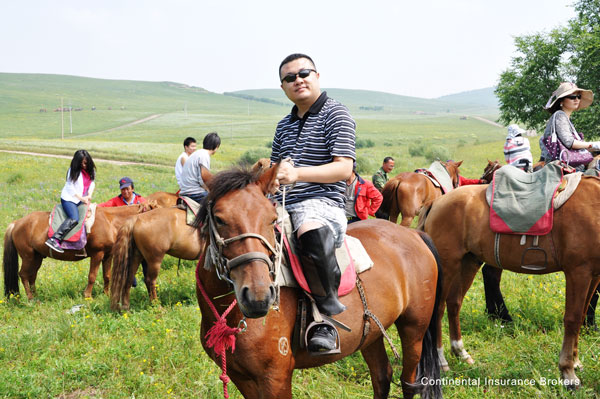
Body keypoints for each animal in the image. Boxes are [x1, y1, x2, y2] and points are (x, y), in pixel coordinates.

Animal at [2, 203, 157, 300]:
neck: (110, 221)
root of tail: (16, 223)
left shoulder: (108, 255)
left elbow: (107, 276)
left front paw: (106, 294)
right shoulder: (97, 254)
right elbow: (92, 276)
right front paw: (87, 296)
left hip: (37, 257)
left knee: (32, 276)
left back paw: (36, 296)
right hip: (28, 256)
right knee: (23, 275)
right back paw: (30, 298)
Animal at [191, 166, 440, 399]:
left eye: (271, 219)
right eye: (219, 219)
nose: (258, 297)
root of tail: (414, 234)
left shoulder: (275, 378)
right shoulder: (241, 377)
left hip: (414, 329)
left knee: (409, 382)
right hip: (371, 334)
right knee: (382, 376)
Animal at [420, 180, 600, 390]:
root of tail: (436, 202)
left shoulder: (592, 275)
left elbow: (582, 315)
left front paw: (576, 362)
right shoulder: (578, 272)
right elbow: (573, 319)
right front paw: (568, 373)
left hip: (468, 262)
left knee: (454, 303)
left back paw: (461, 352)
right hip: (448, 266)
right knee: (439, 309)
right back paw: (441, 360)